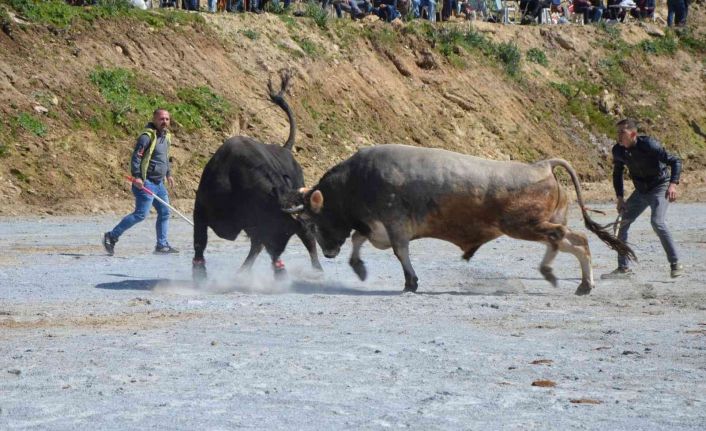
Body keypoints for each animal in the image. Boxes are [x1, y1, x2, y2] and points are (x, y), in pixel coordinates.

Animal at [284, 145, 632, 296]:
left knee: (568, 239)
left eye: (313, 223)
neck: (357, 180)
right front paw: (358, 267)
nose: (328, 253)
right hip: (538, 224)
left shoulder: (394, 226)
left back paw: (569, 278)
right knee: (568, 241)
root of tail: (542, 165)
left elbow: (399, 252)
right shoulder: (375, 226)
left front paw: (410, 282)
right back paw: (569, 279)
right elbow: (359, 238)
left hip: (523, 226)